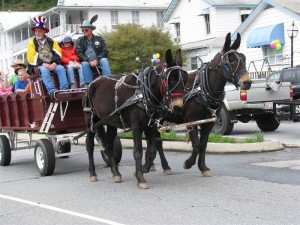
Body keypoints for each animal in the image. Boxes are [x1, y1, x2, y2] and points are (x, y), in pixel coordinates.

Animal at [84, 48, 188, 188]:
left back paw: (115, 172)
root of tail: (92, 83)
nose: (178, 107)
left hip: (110, 123)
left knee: (109, 145)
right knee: (89, 145)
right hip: (91, 121)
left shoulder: (151, 126)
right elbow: (138, 152)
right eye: (171, 79)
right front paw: (140, 178)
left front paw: (144, 169)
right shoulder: (136, 127)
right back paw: (92, 173)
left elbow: (152, 151)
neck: (142, 92)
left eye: (185, 79)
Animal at [144, 33, 252, 176]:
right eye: (231, 60)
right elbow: (196, 145)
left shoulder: (209, 122)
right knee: (157, 142)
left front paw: (203, 167)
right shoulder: (191, 122)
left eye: (244, 58)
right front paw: (188, 163)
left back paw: (152, 164)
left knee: (152, 140)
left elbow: (203, 145)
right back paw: (164, 166)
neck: (202, 89)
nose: (247, 82)